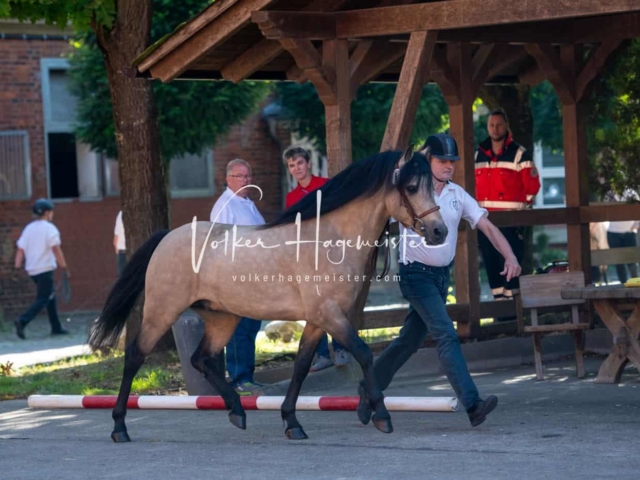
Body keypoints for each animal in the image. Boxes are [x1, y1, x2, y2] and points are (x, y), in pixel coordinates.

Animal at [90, 146, 448, 442]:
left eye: (431, 185)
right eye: (412, 187)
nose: (439, 231)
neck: (330, 239)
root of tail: (166, 237)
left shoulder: (318, 320)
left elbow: (301, 365)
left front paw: (292, 422)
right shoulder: (330, 315)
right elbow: (363, 353)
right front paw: (381, 416)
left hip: (222, 317)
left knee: (201, 359)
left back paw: (237, 411)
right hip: (162, 312)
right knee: (135, 355)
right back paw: (119, 427)